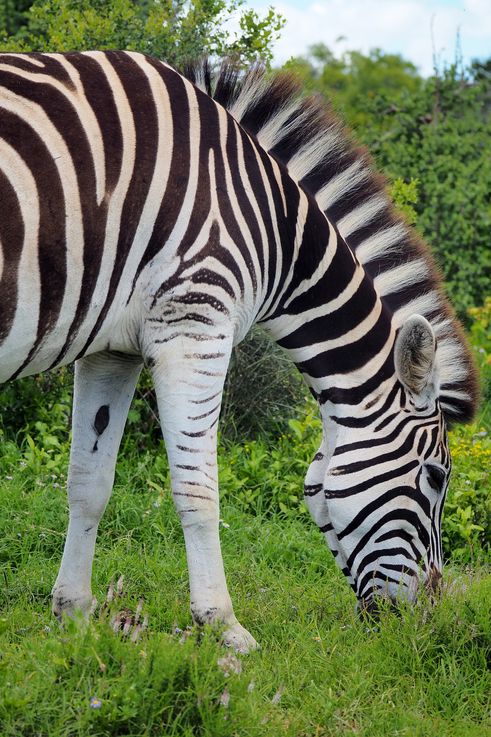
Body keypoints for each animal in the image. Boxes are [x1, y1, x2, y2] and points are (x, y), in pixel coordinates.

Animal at [0, 50, 478, 652]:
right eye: (435, 478)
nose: (423, 624)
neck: (273, 227)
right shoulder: (195, 323)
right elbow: (198, 488)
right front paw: (223, 625)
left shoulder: (111, 348)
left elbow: (89, 481)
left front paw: (75, 615)